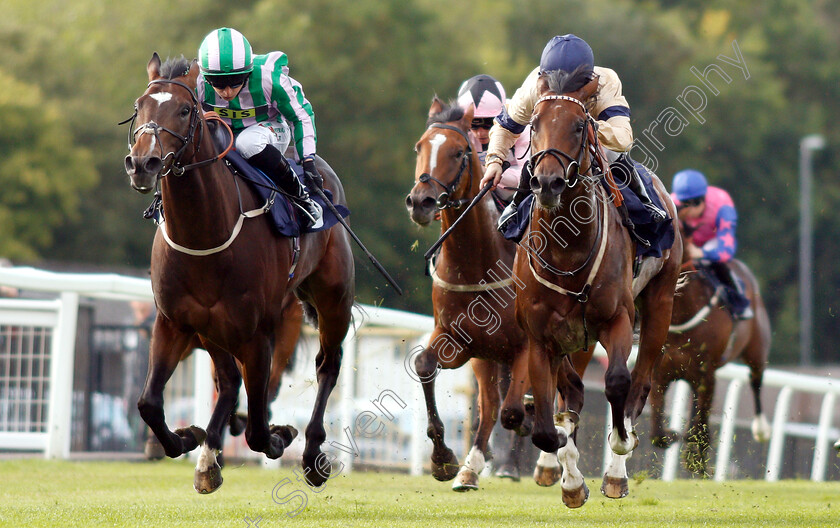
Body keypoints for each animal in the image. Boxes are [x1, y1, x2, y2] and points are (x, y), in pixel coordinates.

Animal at [121, 55, 352, 492]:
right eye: (139, 106)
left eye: (185, 110)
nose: (144, 163)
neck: (204, 234)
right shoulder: (175, 322)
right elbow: (149, 403)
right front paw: (187, 440)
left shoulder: (256, 334)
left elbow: (259, 429)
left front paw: (281, 436)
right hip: (213, 330)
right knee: (227, 384)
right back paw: (209, 453)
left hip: (332, 298)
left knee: (327, 365)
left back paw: (312, 454)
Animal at [404, 100, 588, 490]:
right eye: (419, 147)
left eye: (459, 152)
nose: (421, 202)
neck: (477, 262)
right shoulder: (457, 340)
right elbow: (425, 365)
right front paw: (443, 460)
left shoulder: (524, 345)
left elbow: (514, 411)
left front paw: (536, 426)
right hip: (486, 357)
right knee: (491, 407)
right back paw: (470, 468)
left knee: (567, 392)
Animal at [516, 70, 684, 508]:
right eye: (533, 124)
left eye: (579, 126)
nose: (548, 182)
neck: (566, 250)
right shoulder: (541, 338)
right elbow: (549, 425)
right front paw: (570, 478)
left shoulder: (617, 318)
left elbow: (618, 383)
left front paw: (619, 445)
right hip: (577, 338)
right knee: (571, 392)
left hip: (659, 305)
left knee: (639, 383)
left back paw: (616, 472)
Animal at [648, 225, 772, 476]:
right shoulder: (661, 373)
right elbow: (657, 431)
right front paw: (673, 436)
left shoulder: (707, 375)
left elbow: (701, 427)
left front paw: (697, 463)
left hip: (756, 351)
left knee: (755, 381)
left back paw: (761, 429)